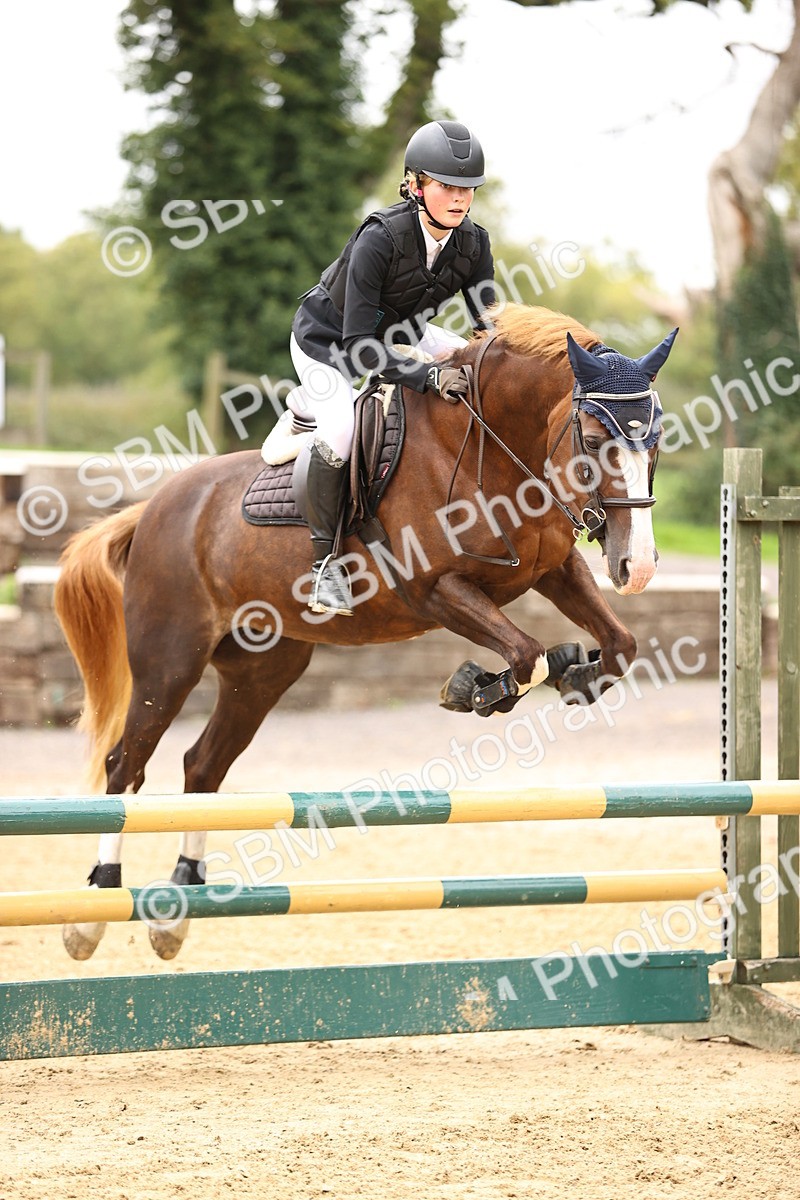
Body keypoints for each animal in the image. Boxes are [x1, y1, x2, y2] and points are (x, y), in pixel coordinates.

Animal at [54, 302, 676, 961]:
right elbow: (527, 653)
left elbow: (619, 646)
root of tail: (150, 509)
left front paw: (575, 674)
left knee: (202, 765)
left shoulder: (552, 570)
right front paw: (476, 687)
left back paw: (177, 904)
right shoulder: (434, 588)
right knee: (126, 764)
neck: (493, 445)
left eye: (656, 441)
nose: (638, 567)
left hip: (262, 672)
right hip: (170, 662)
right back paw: (94, 906)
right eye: (594, 441)